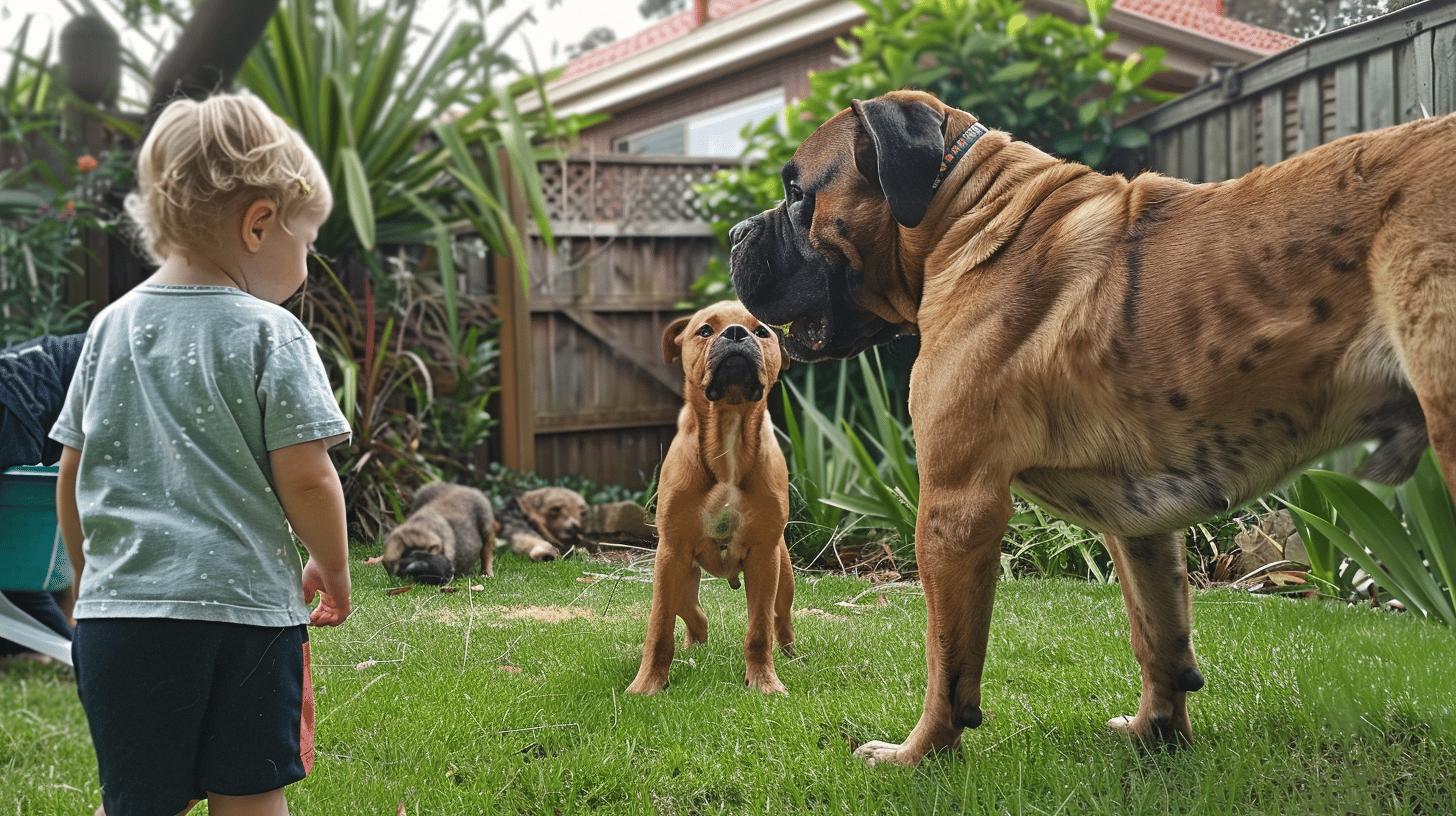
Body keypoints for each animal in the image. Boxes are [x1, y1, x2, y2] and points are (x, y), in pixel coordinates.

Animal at [620, 300, 792, 693]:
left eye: (761, 331)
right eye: (704, 330)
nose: (736, 334)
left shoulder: (764, 558)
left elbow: (759, 630)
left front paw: (763, 682)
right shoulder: (670, 554)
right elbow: (659, 628)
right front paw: (648, 685)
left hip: (784, 574)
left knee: (781, 618)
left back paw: (792, 654)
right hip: (680, 574)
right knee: (693, 614)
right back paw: (695, 644)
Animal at [728, 89, 1456, 763]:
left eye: (797, 193)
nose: (735, 236)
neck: (960, 217)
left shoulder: (955, 507)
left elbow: (947, 660)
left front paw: (918, 755)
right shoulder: (1139, 523)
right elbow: (1157, 634)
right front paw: (1157, 734)